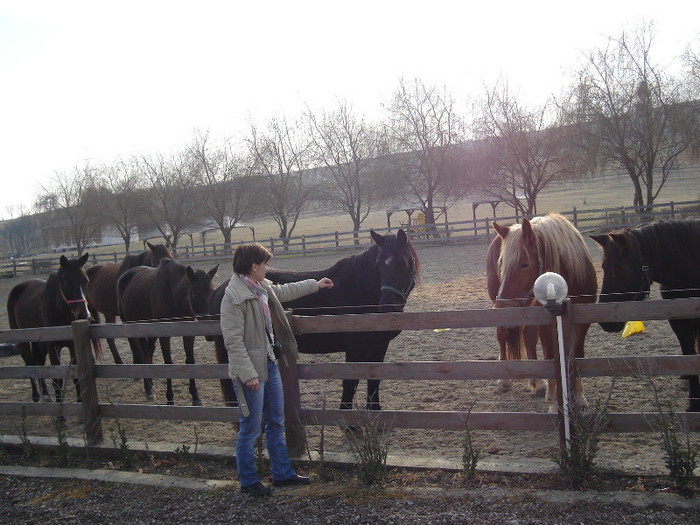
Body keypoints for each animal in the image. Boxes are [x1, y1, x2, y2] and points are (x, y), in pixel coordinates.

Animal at [6, 254, 91, 402]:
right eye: (66, 282)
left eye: (85, 281)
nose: (83, 314)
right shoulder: (53, 346)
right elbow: (57, 379)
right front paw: (60, 407)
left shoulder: (73, 345)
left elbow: (75, 377)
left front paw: (80, 401)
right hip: (23, 340)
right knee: (29, 363)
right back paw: (35, 396)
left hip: (38, 341)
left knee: (39, 361)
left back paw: (45, 393)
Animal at [208, 229, 416, 410]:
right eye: (379, 266)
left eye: (404, 263)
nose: (387, 308)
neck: (362, 288)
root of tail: (223, 289)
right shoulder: (356, 347)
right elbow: (350, 381)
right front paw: (348, 424)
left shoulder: (379, 346)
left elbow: (374, 379)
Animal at [492, 211, 596, 412]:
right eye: (501, 264)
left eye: (525, 264)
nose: (500, 311)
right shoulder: (545, 324)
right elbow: (549, 355)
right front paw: (554, 402)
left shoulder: (583, 322)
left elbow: (577, 353)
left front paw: (579, 397)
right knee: (503, 336)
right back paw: (504, 381)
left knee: (528, 338)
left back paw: (538, 383)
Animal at [592, 219, 700, 412]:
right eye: (603, 267)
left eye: (619, 267)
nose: (605, 321)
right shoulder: (678, 321)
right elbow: (689, 355)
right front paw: (694, 403)